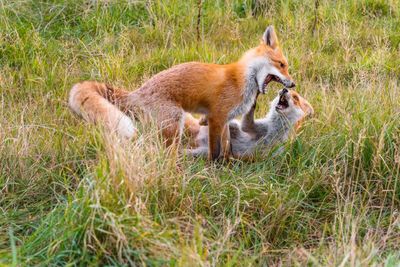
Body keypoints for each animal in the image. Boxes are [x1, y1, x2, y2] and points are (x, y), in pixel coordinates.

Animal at [68, 25, 294, 160]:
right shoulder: (216, 117)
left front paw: (229, 164)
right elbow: (215, 151)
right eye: (281, 64)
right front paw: (215, 170)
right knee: (164, 152)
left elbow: (227, 147)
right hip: (174, 124)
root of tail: (138, 92)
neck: (240, 79)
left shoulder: (225, 120)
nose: (292, 84)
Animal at [186, 89, 314, 161]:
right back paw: (205, 120)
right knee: (228, 123)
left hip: (202, 152)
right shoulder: (258, 127)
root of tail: (199, 139)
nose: (284, 89)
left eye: (296, 98)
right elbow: (246, 124)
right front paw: (254, 97)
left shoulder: (276, 152)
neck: (274, 131)